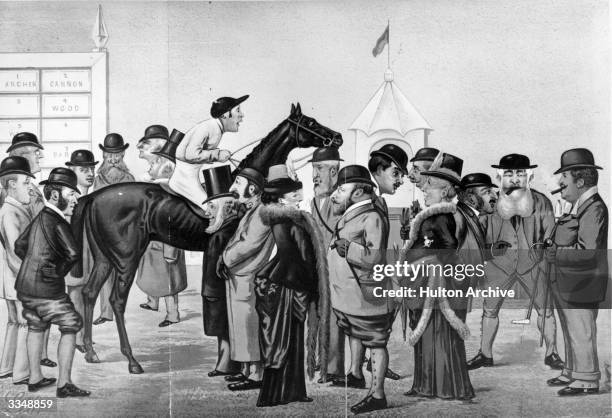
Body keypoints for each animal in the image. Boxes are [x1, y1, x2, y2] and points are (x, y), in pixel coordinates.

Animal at [69, 103, 342, 372]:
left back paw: (90, 351)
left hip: (104, 258)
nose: (337, 137)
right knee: (116, 301)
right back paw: (131, 360)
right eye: (309, 122)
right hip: (126, 260)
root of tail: (93, 197)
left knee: (89, 293)